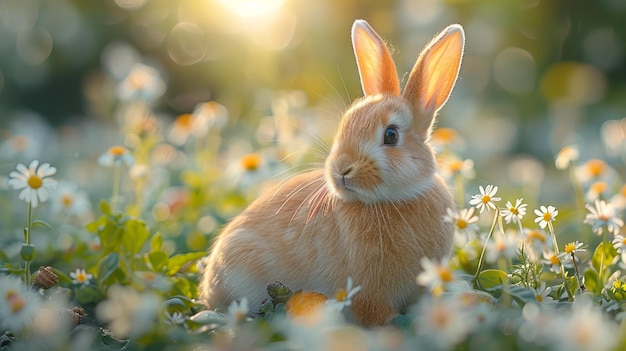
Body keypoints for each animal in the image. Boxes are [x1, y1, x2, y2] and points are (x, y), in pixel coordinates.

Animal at [200, 20, 464, 328]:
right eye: (345, 124)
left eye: (391, 135)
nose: (341, 169)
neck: (393, 200)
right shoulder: (367, 290)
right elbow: (374, 313)